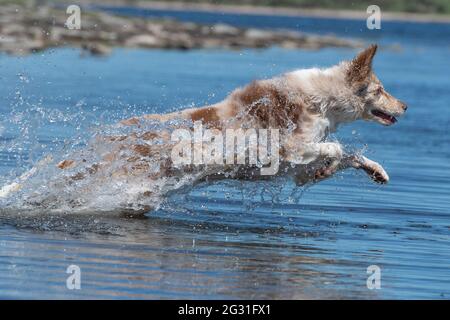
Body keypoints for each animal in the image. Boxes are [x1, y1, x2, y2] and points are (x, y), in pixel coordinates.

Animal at [0, 43, 408, 205]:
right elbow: (336, 147)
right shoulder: (286, 147)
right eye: (380, 89)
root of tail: (105, 135)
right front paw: (333, 160)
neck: (321, 98)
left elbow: (349, 156)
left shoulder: (293, 169)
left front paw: (376, 171)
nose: (405, 105)